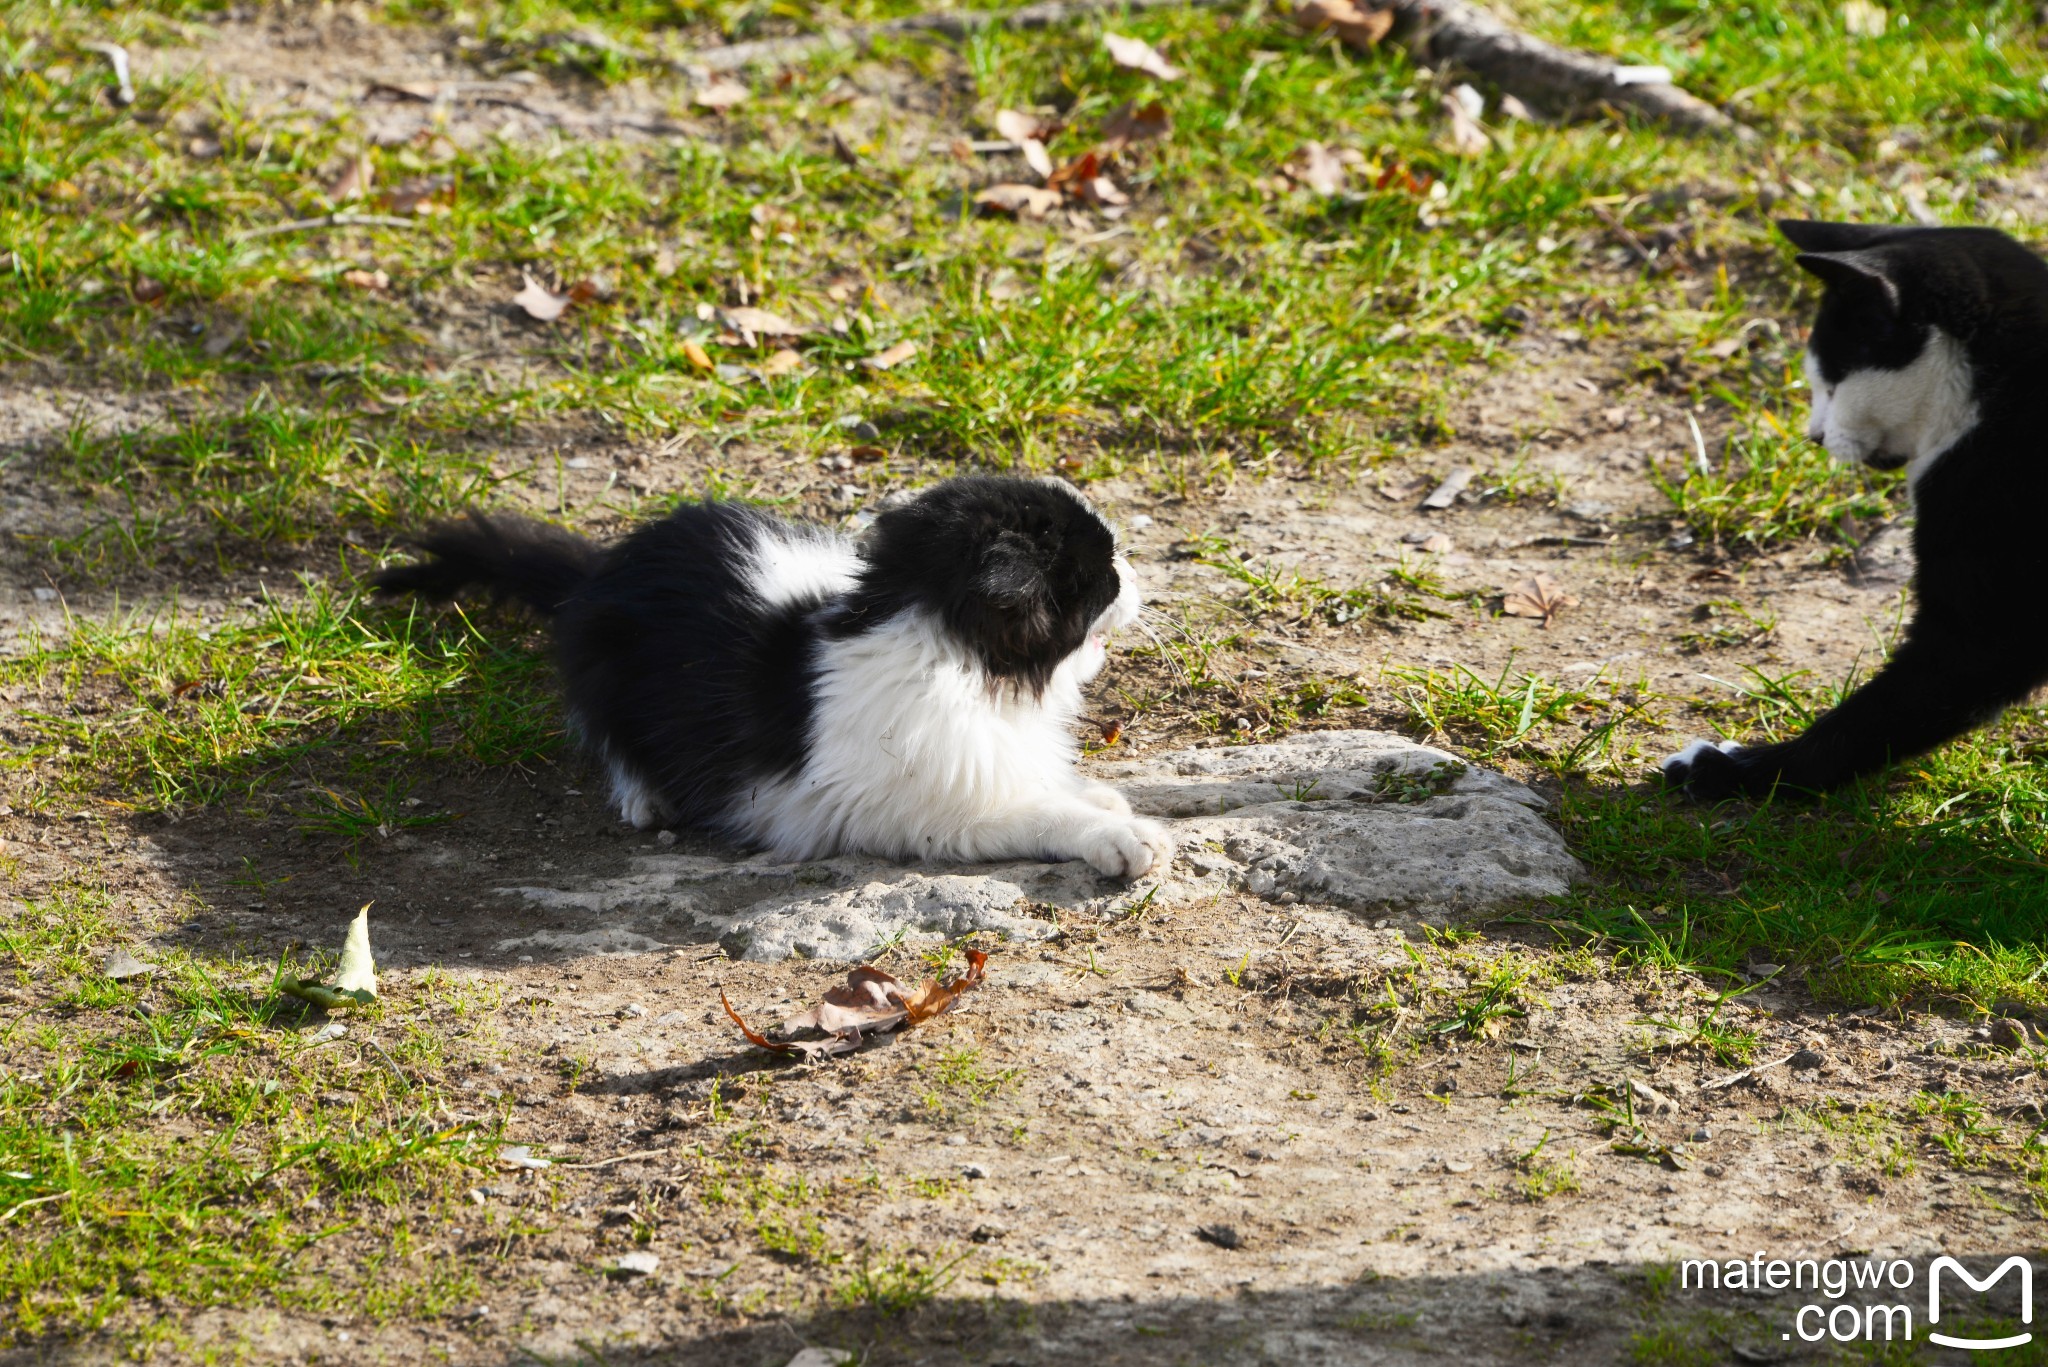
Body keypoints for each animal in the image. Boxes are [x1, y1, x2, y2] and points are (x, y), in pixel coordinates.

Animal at [368, 475, 1171, 873]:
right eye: (1101, 575)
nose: (1137, 576)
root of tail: (602, 567)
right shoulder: (936, 816)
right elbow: (1040, 814)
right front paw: (1118, 835)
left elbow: (1048, 784)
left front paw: (1096, 794)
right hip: (604, 664)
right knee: (605, 732)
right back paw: (645, 797)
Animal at [1662, 220, 2048, 803]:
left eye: (1834, 378)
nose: (1815, 437)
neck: (1999, 394)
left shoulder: (1984, 629)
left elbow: (1863, 723)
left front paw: (1739, 770)